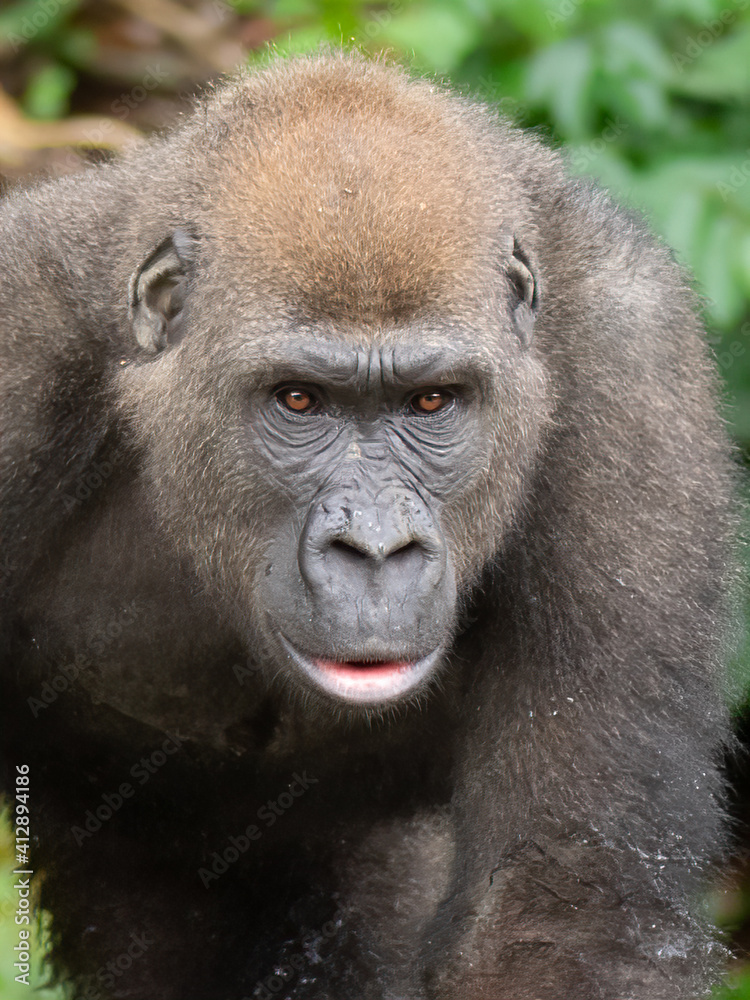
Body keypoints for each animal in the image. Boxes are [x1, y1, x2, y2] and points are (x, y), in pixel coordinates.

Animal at [0, 50, 740, 1000]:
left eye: (431, 402)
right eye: (298, 401)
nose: (377, 550)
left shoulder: (632, 358)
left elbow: (567, 907)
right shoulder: (20, 350)